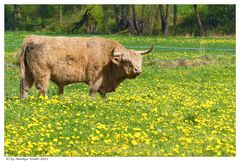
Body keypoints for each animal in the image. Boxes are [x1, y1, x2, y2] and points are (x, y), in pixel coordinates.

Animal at [19, 35, 153, 98]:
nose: (137, 70)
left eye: (139, 60)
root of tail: (31, 38)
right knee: (42, 89)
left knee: (25, 87)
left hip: (28, 73)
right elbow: (93, 91)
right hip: (42, 74)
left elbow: (103, 93)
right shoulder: (95, 77)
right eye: (126, 60)